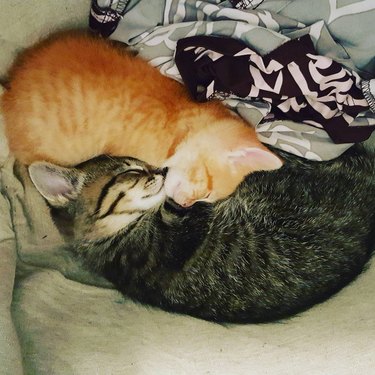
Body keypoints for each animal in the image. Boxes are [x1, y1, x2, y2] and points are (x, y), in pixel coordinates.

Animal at [28, 146, 375, 324]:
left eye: (142, 165)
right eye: (131, 171)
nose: (161, 170)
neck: (112, 240)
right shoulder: (175, 234)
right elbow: (184, 208)